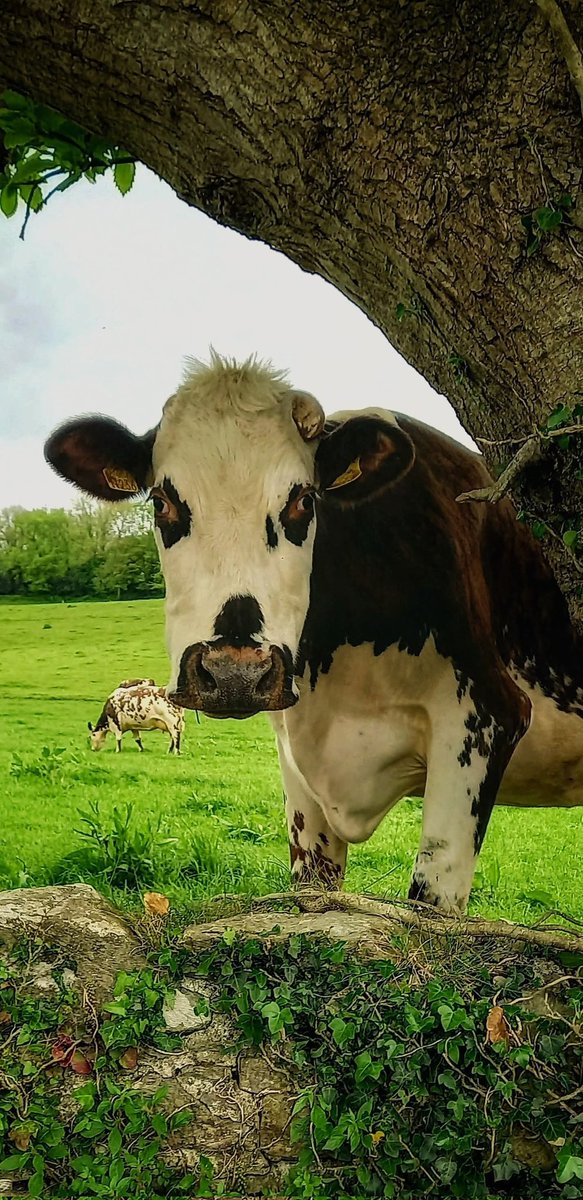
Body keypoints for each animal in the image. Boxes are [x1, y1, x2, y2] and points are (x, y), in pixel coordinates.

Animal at [46, 353, 583, 912]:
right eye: (161, 502)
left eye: (303, 500)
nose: (234, 674)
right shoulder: (297, 763)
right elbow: (313, 891)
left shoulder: (484, 719)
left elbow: (431, 902)